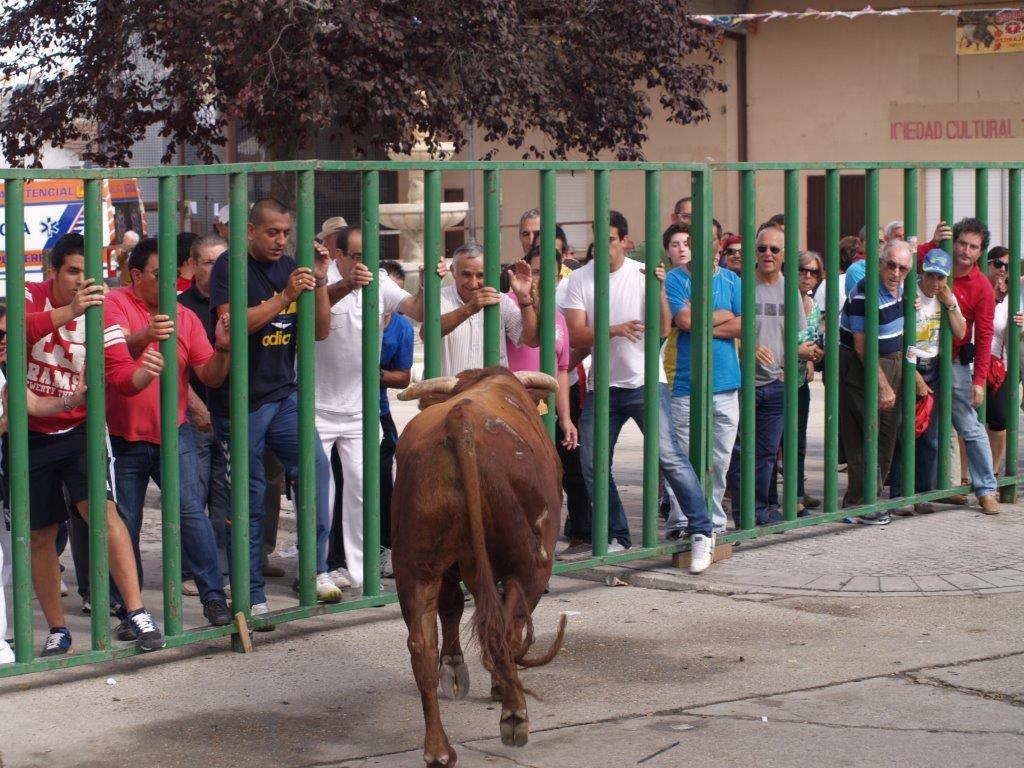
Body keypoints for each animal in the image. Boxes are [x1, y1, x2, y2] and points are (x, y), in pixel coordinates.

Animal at [391, 368, 569, 768]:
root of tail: (461, 420)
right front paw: (501, 687)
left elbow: (451, 608)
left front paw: (454, 667)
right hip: (530, 563)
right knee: (503, 627)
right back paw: (514, 715)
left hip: (415, 565)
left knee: (422, 644)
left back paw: (438, 750)